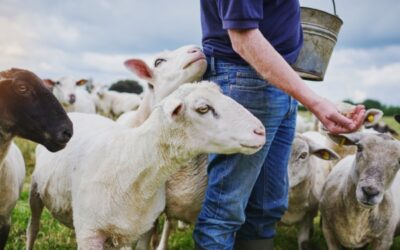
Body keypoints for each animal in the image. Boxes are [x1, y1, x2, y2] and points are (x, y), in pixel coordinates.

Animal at [27, 81, 266, 249]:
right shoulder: (89, 234)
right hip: (35, 191)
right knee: (33, 229)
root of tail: (75, 113)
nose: (261, 131)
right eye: (203, 108)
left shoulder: (139, 230)